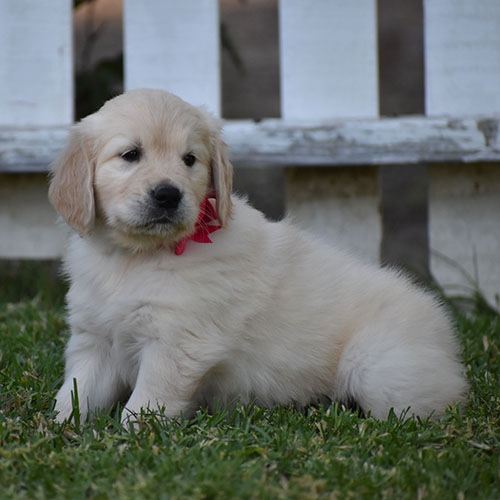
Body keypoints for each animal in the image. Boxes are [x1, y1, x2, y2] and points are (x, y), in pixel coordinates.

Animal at [49, 89, 467, 424]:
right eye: (130, 155)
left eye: (190, 160)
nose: (168, 195)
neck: (134, 257)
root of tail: (445, 333)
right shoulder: (95, 340)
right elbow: (75, 392)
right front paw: (59, 429)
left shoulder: (176, 343)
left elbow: (148, 400)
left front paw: (133, 436)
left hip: (375, 369)